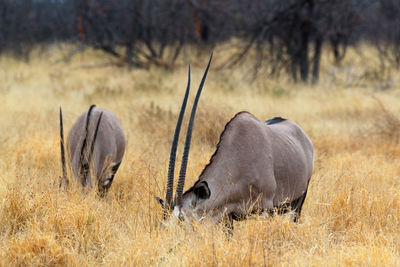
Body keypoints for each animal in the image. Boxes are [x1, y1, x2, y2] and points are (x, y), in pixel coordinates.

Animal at [157, 55, 316, 230]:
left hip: (298, 203)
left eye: (182, 219)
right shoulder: (227, 216)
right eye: (164, 224)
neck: (239, 160)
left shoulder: (265, 210)